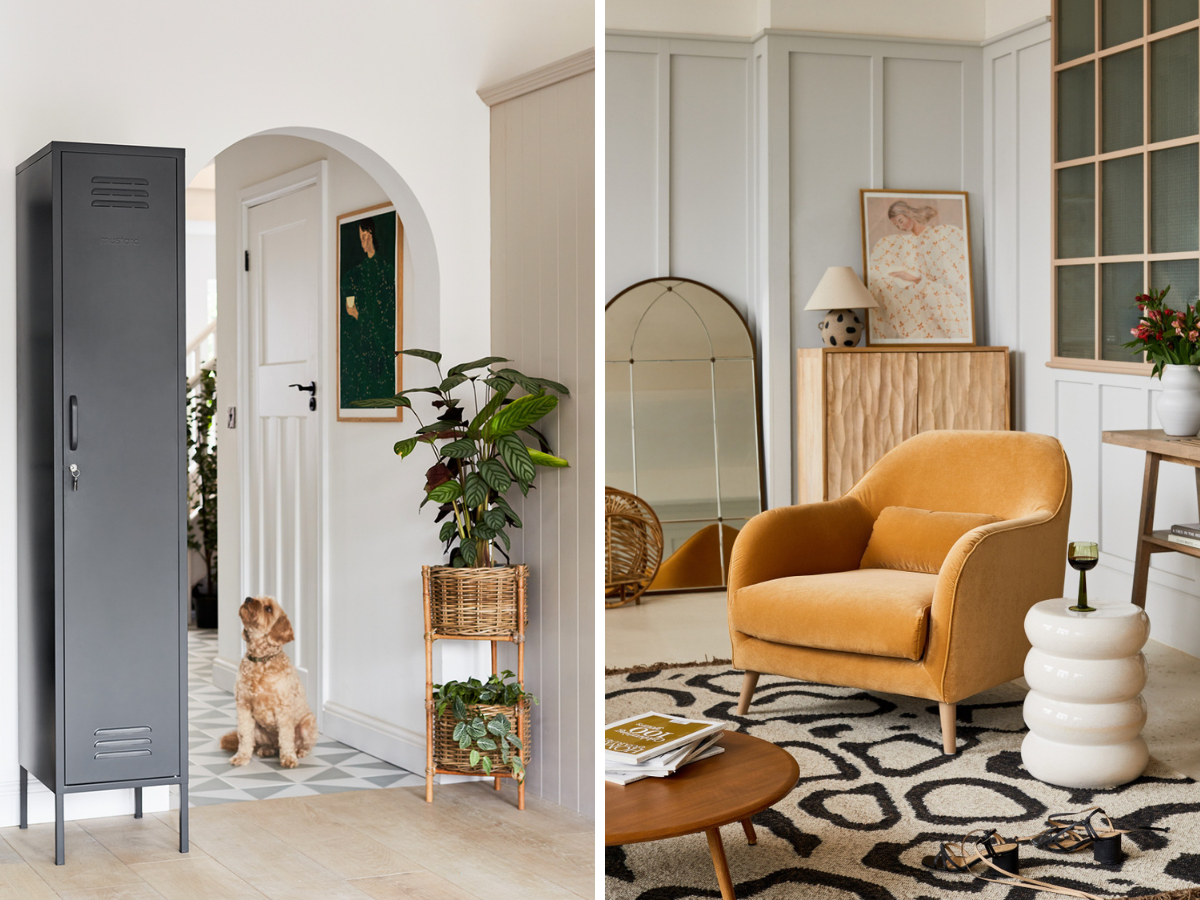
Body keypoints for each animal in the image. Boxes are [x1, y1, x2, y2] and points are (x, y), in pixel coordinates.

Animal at [218, 600, 316, 768]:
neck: (261, 661)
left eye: (269, 609)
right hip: (258, 729)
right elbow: (244, 735)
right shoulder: (243, 706)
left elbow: (286, 737)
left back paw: (299, 751)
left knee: (299, 744)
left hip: (308, 724)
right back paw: (266, 749)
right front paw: (241, 757)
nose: (248, 598)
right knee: (269, 744)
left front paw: (288, 758)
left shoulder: (283, 709)